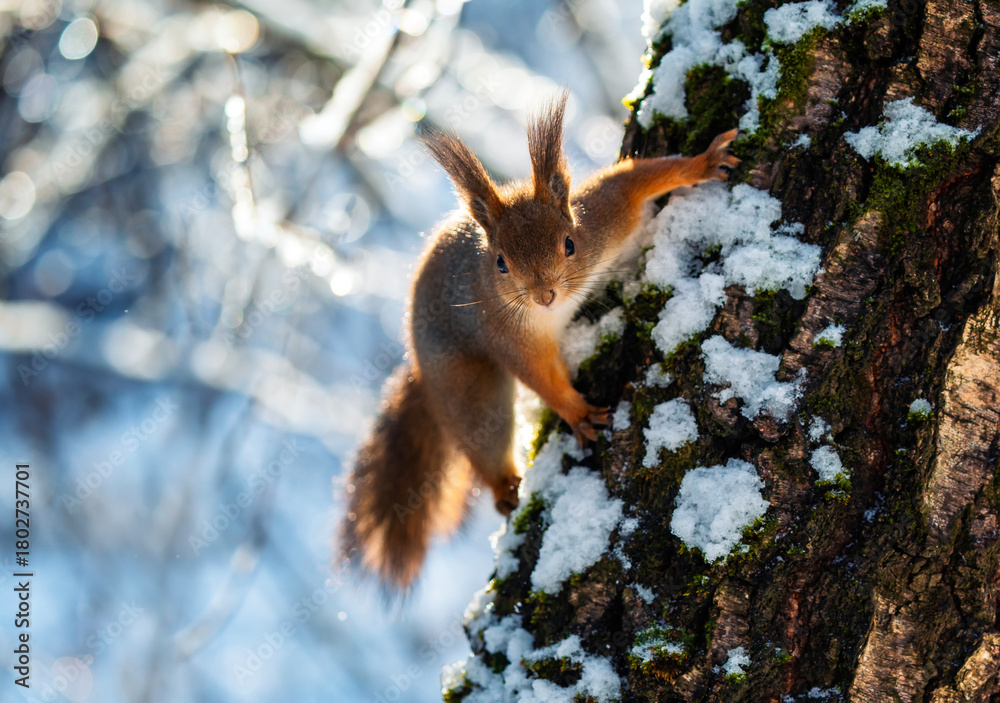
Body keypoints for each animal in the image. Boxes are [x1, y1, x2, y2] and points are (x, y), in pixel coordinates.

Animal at [341, 92, 738, 590]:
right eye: (500, 263)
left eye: (569, 244)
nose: (544, 295)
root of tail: (416, 359)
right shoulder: (507, 335)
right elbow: (540, 377)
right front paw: (577, 413)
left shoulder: (603, 219)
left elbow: (632, 180)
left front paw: (703, 162)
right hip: (465, 383)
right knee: (481, 433)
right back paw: (503, 488)